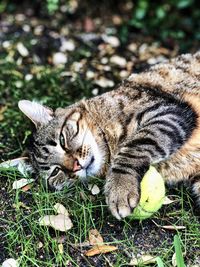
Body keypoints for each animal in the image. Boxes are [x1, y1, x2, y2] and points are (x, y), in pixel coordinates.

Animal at [17, 51, 200, 220]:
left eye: (62, 140)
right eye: (55, 172)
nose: (76, 166)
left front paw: (120, 188)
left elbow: (134, 148)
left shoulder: (168, 112)